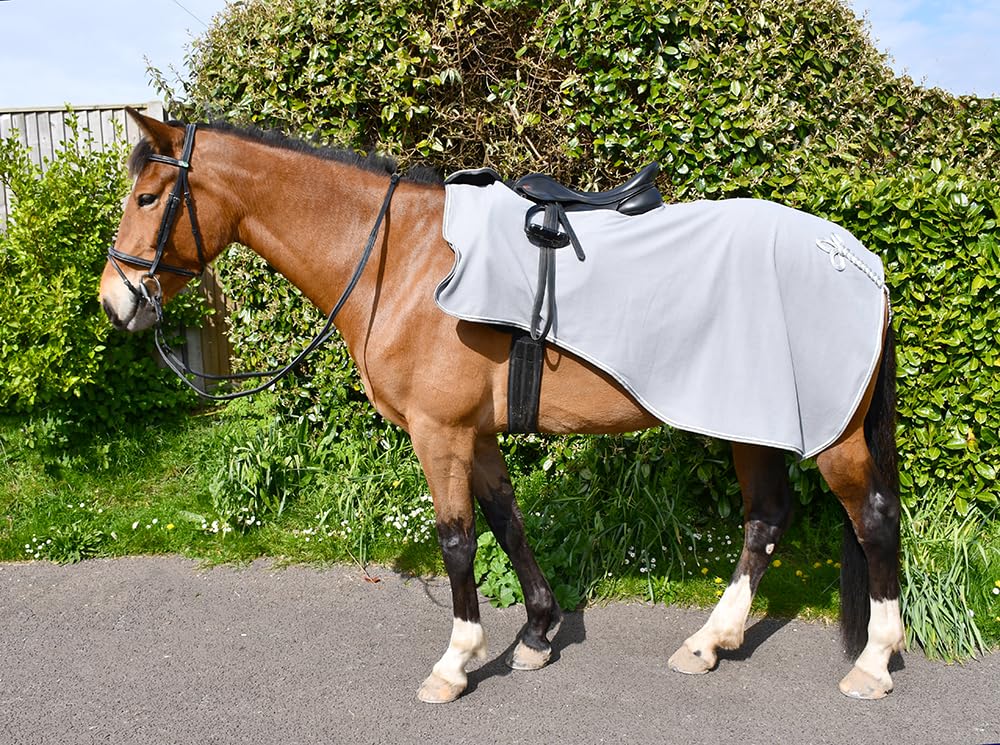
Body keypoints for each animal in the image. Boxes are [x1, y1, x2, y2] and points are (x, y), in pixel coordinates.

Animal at [99, 108, 903, 703]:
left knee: (871, 519)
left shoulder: (439, 432)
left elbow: (458, 539)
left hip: (828, 437)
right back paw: (709, 642)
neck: (404, 258)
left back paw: (873, 660)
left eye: (147, 199)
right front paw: (540, 634)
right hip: (752, 424)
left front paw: (457, 662)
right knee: (766, 518)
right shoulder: (475, 433)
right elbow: (507, 523)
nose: (116, 301)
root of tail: (862, 262)